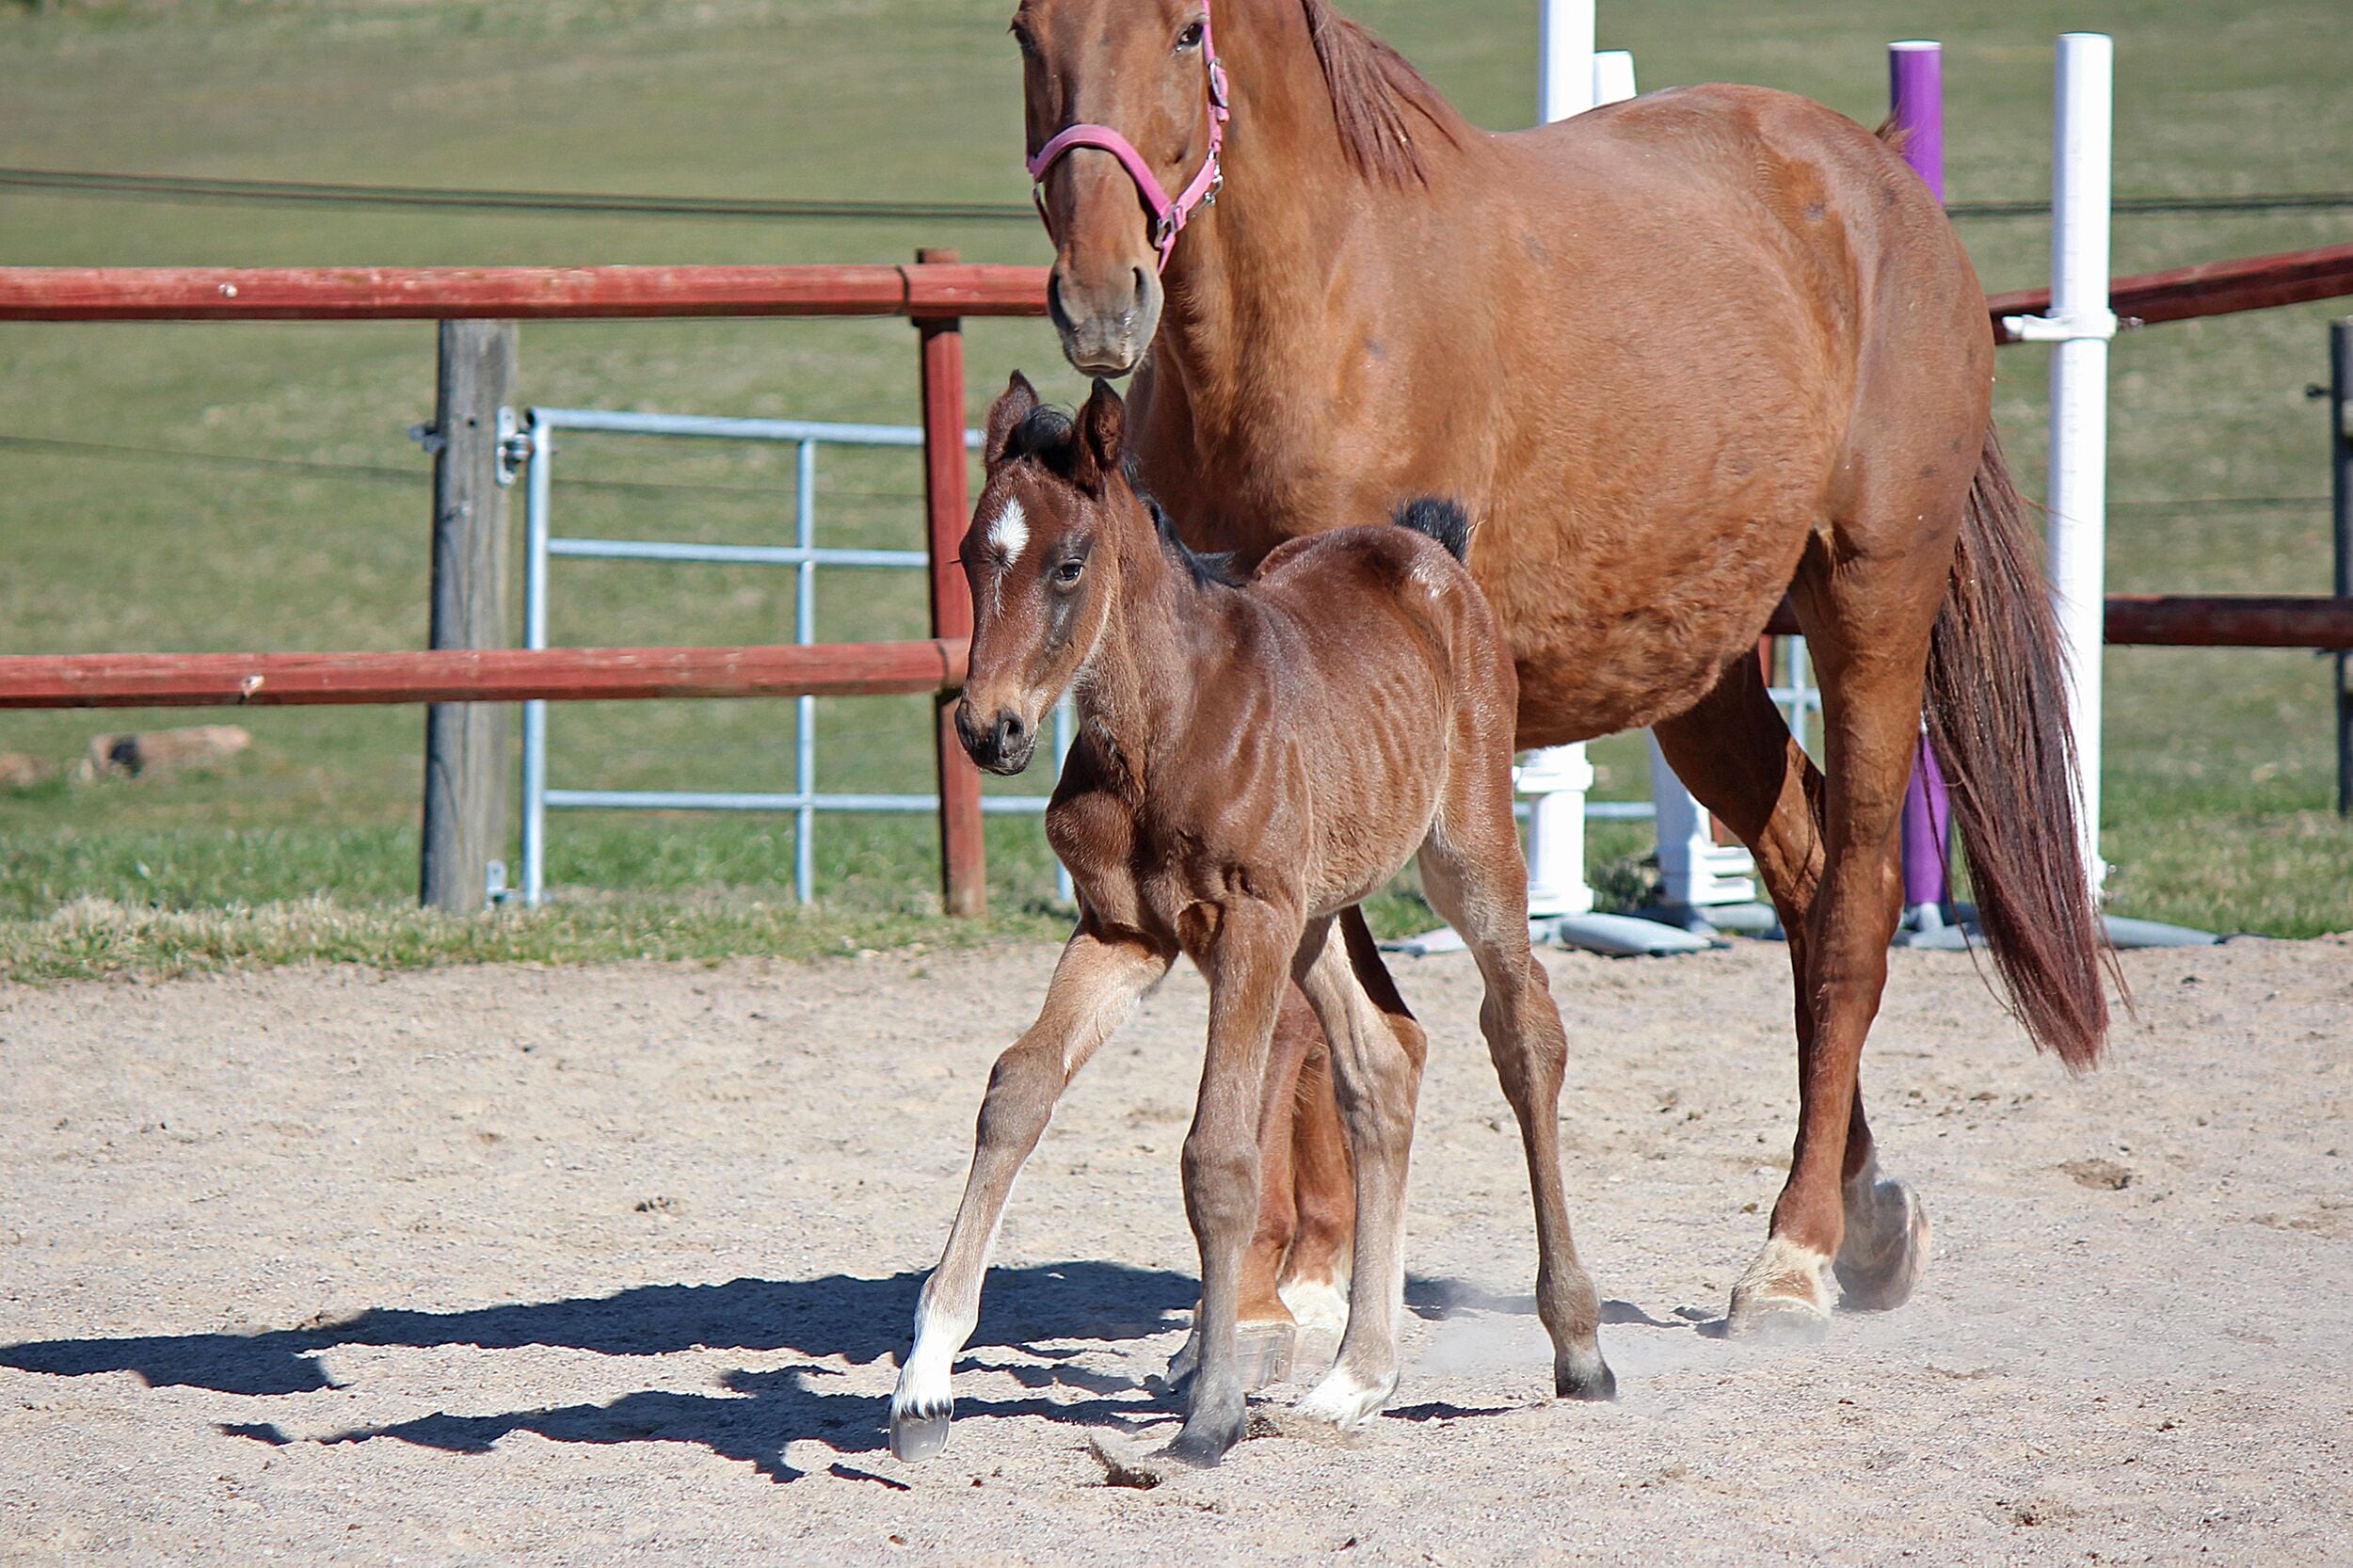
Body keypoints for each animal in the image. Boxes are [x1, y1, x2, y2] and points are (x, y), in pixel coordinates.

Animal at [889, 374, 1613, 1466]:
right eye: (973, 556)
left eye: (1068, 565)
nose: (988, 729)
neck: (1167, 728)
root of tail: (1428, 551)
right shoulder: (1124, 934)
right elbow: (1016, 1090)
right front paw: (924, 1381)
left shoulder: (1248, 927)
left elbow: (1217, 1154)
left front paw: (1214, 1411)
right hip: (1318, 917)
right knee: (1382, 1063)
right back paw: (1356, 1380)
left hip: (1466, 854)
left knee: (1524, 1033)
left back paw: (1577, 1346)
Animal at [1012, 0, 2113, 1356]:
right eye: (1027, 31)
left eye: (1182, 32)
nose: (1100, 296)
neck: (1319, 309)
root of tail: (1880, 178)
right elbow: (1328, 1006)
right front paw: (1307, 1270)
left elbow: (1298, 1014)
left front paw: (1271, 1293)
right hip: (1700, 672)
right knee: (1802, 872)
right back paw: (1862, 1212)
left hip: (1872, 606)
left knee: (1854, 904)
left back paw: (1795, 1249)